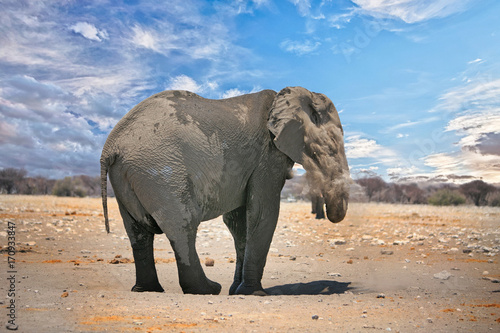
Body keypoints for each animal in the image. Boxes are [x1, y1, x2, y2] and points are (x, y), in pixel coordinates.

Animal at [99, 87, 350, 294]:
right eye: (330, 146)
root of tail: (111, 145)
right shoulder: (267, 156)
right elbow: (262, 213)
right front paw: (254, 293)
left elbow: (239, 223)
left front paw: (236, 291)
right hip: (161, 170)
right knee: (183, 225)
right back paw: (207, 289)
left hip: (127, 176)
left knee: (138, 232)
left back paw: (148, 289)